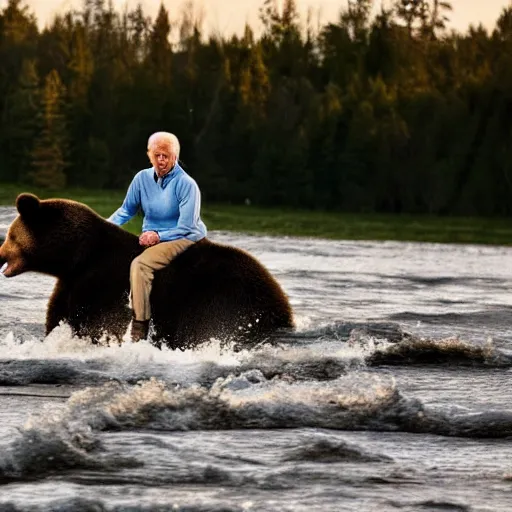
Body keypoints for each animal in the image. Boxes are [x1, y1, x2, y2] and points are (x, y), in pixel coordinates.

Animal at [0, 194, 294, 350]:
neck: (78, 256)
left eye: (11, 236)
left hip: (222, 298)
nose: (0, 252)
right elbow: (58, 314)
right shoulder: (72, 281)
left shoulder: (101, 280)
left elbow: (94, 320)